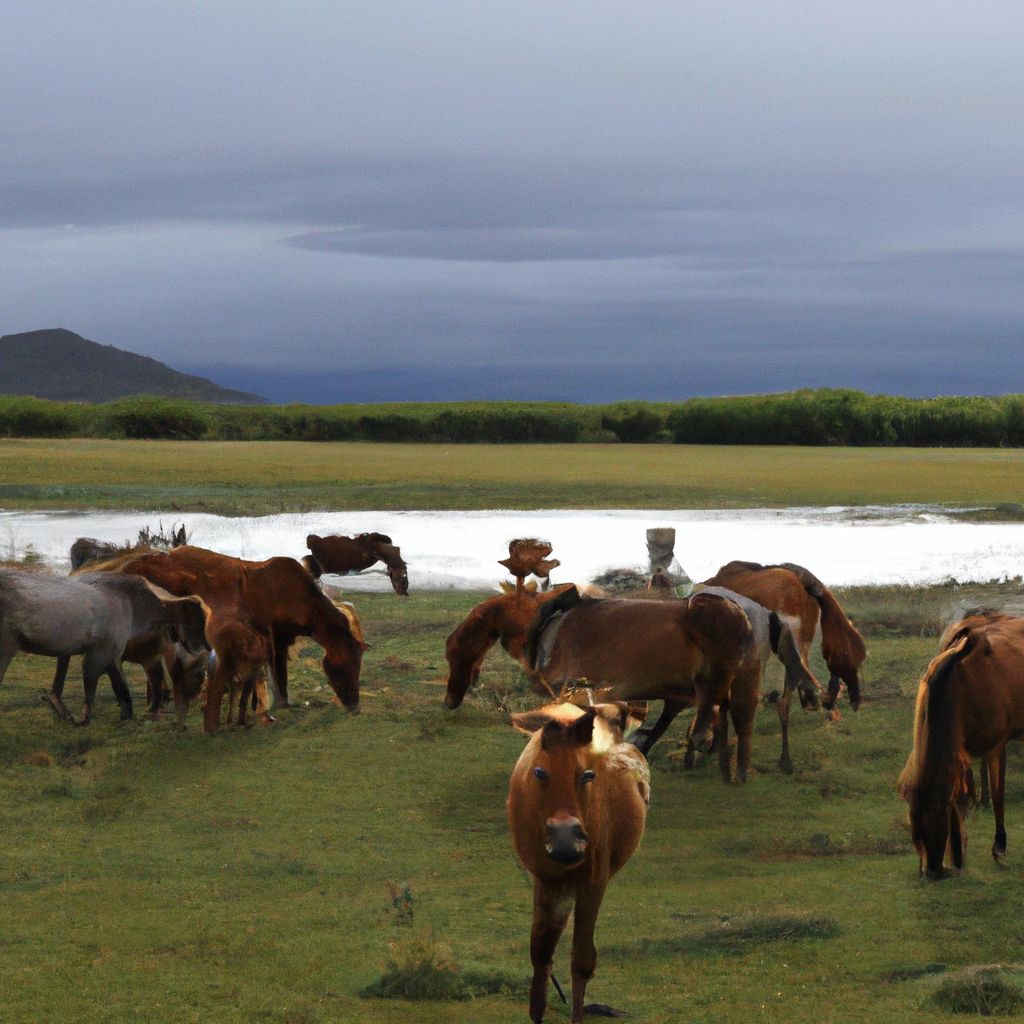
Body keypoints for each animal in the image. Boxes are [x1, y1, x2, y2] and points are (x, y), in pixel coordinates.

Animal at [88, 548, 366, 733]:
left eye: (359, 660)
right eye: (345, 660)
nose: (354, 705)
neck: (302, 604)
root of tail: (122, 567)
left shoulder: (277, 640)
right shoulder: (273, 638)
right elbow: (276, 680)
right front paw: (274, 707)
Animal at [505, 704, 647, 1024]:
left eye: (587, 775)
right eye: (540, 772)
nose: (565, 841)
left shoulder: (593, 883)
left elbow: (581, 962)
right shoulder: (544, 881)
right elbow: (540, 953)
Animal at [897, 610, 1024, 876]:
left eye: (935, 816)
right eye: (915, 833)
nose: (933, 872)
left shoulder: (997, 745)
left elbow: (998, 796)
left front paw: (999, 848)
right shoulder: (960, 752)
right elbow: (959, 796)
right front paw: (957, 857)